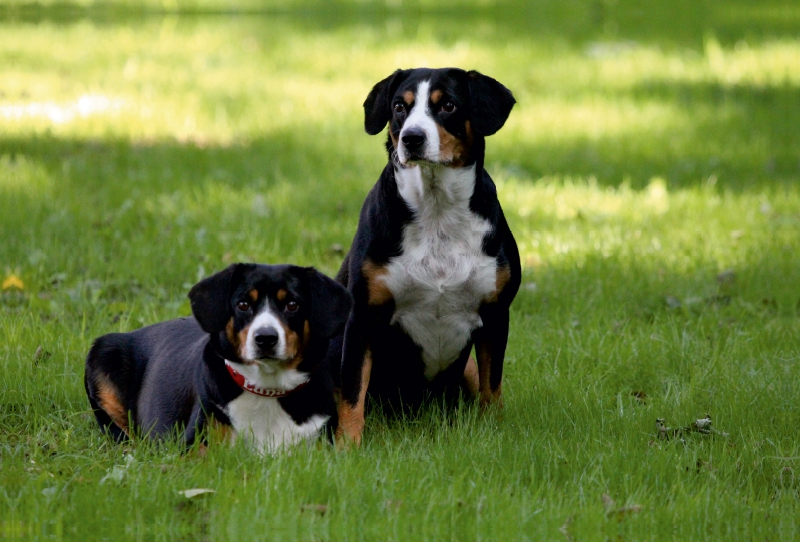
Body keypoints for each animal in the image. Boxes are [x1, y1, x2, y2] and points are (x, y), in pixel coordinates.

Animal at [83, 264, 354, 454]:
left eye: (292, 304)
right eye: (243, 304)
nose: (265, 338)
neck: (268, 389)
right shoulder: (196, 444)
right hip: (104, 353)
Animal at [330, 67, 520, 446]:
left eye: (448, 105)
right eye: (399, 107)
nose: (412, 138)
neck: (437, 213)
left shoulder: (495, 313)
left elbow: (492, 386)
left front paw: (493, 431)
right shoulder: (362, 317)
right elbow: (352, 390)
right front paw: (348, 446)